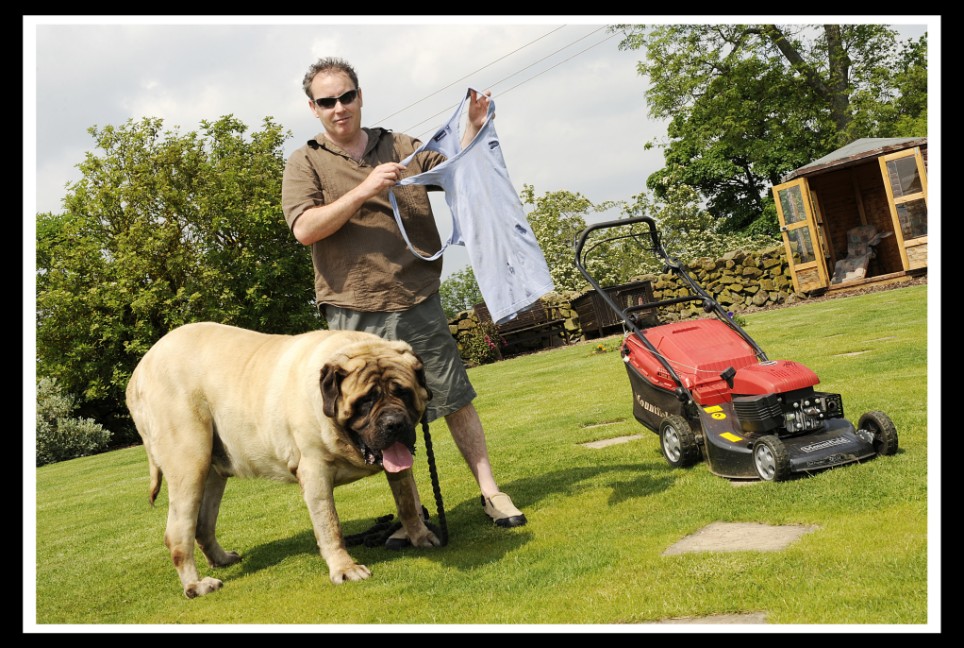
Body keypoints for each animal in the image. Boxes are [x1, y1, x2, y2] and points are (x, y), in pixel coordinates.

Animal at [125, 322, 440, 600]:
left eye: (403, 393)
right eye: (366, 401)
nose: (394, 423)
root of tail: (137, 375)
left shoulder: (398, 467)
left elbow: (407, 501)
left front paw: (419, 535)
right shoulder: (314, 472)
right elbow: (330, 525)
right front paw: (345, 568)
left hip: (212, 470)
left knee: (203, 524)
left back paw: (222, 558)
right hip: (189, 464)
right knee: (178, 533)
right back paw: (196, 585)